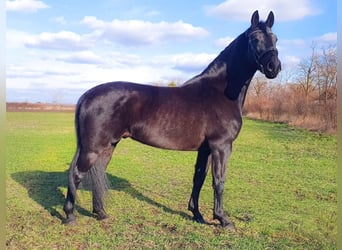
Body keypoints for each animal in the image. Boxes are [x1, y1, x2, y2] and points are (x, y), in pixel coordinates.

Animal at [63, 10, 280, 229]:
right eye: (254, 39)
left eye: (275, 39)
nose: (274, 67)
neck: (220, 92)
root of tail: (85, 96)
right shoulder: (221, 146)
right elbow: (219, 181)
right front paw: (223, 219)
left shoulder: (206, 149)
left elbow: (199, 178)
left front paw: (197, 214)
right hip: (92, 148)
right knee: (77, 174)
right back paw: (70, 216)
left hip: (108, 146)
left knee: (97, 173)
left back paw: (101, 213)